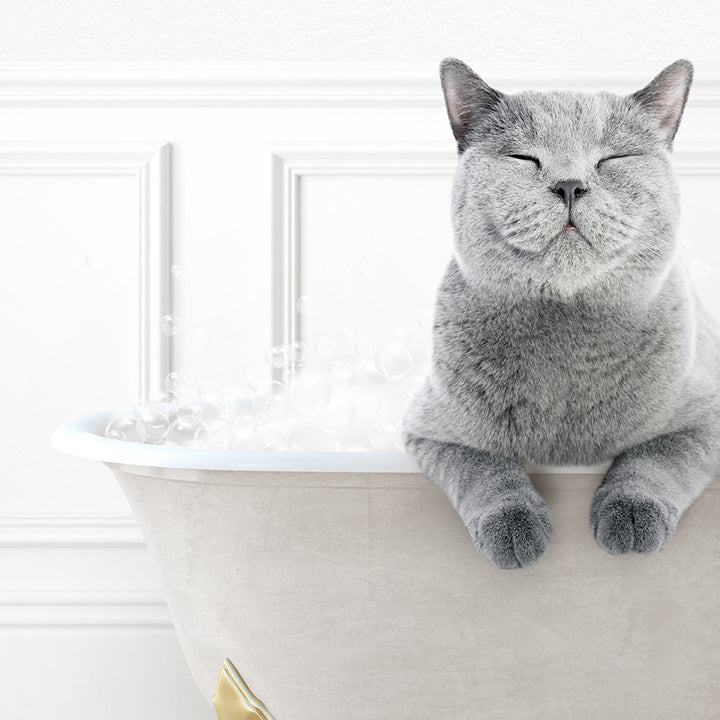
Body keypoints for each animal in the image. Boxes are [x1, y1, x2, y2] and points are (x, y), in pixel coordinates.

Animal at [400, 57, 720, 568]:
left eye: (612, 159)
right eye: (523, 158)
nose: (570, 185)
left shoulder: (706, 417)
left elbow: (656, 458)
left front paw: (631, 517)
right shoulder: (432, 431)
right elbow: (484, 468)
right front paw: (515, 528)